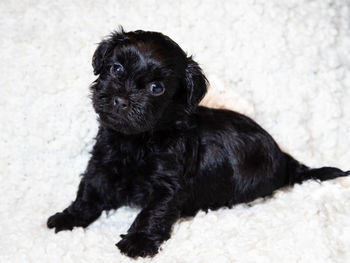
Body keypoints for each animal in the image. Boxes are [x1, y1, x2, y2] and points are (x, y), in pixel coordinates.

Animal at [47, 28, 348, 258]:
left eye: (157, 88)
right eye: (116, 68)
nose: (121, 100)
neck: (138, 141)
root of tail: (285, 158)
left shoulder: (169, 184)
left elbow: (153, 211)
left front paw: (138, 242)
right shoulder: (101, 165)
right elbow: (88, 193)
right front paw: (69, 217)